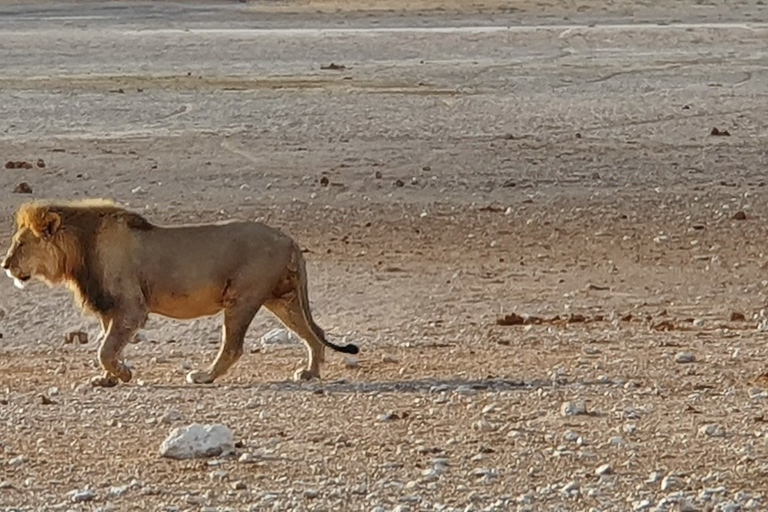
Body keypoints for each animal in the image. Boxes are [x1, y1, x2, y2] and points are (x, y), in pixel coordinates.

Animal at [0, 200, 360, 388]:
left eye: (21, 244)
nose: (4, 264)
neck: (79, 249)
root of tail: (289, 239)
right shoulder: (110, 309)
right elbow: (108, 347)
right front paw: (108, 378)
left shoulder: (131, 308)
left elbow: (105, 349)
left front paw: (123, 374)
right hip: (281, 298)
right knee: (314, 333)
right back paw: (310, 372)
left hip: (243, 298)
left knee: (233, 347)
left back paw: (204, 376)